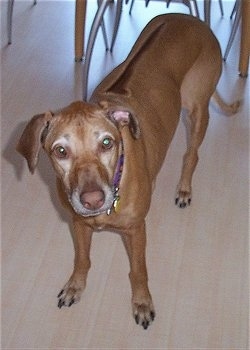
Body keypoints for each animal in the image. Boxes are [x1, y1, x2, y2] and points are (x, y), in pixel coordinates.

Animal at [16, 13, 238, 330]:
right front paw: (75, 286)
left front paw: (142, 302)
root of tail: (189, 17)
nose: (93, 200)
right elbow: (82, 259)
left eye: (107, 143)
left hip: (197, 110)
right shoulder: (78, 223)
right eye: (60, 151)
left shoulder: (136, 231)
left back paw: (184, 188)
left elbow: (138, 270)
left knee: (191, 154)